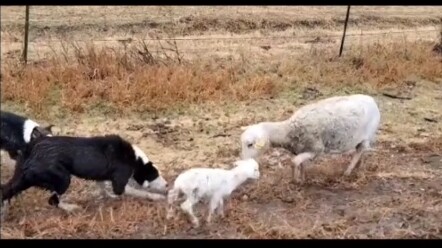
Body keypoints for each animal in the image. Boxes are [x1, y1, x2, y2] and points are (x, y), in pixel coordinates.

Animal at [1, 134, 168, 215]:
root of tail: (30, 149)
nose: (167, 185)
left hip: (23, 178)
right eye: (155, 174)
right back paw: (71, 208)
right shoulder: (120, 182)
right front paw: (157, 197)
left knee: (7, 190)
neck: (134, 158)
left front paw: (108, 196)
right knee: (53, 200)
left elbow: (103, 188)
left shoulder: (101, 176)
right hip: (63, 178)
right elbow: (139, 192)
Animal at [240, 94, 382, 184]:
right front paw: (302, 178)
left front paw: (295, 180)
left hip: (368, 135)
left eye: (250, 144)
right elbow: (301, 164)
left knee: (360, 151)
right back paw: (359, 167)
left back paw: (348, 170)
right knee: (361, 151)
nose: (244, 162)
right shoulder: (301, 149)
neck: (288, 131)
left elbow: (294, 162)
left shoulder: (316, 150)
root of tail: (372, 100)